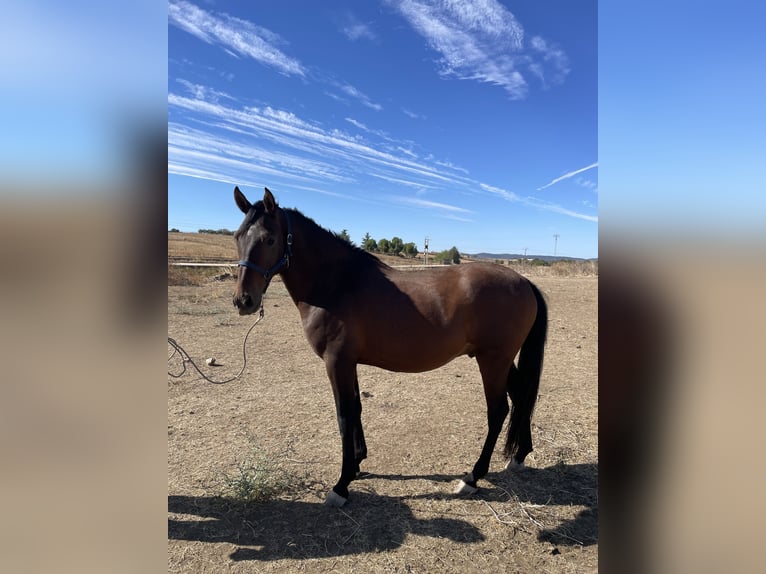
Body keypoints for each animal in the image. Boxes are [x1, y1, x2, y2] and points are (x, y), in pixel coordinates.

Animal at [232, 187, 548, 507]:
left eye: (269, 239)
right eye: (238, 237)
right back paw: (519, 456)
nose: (244, 301)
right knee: (522, 396)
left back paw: (473, 477)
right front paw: (357, 464)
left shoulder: (337, 362)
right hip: (500, 360)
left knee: (498, 411)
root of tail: (524, 282)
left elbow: (344, 415)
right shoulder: (349, 362)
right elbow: (356, 408)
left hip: (493, 360)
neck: (337, 283)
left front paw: (341, 485)